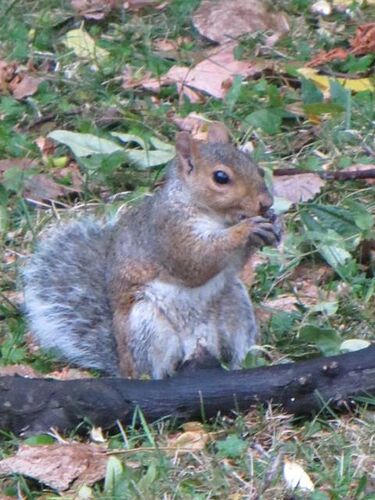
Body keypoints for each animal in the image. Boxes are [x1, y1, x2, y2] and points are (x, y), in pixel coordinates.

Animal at [23, 122, 280, 378]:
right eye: (221, 177)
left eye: (257, 169)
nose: (266, 203)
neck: (215, 216)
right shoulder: (168, 233)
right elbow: (196, 262)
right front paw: (246, 230)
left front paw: (275, 225)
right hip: (147, 325)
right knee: (155, 370)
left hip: (235, 304)